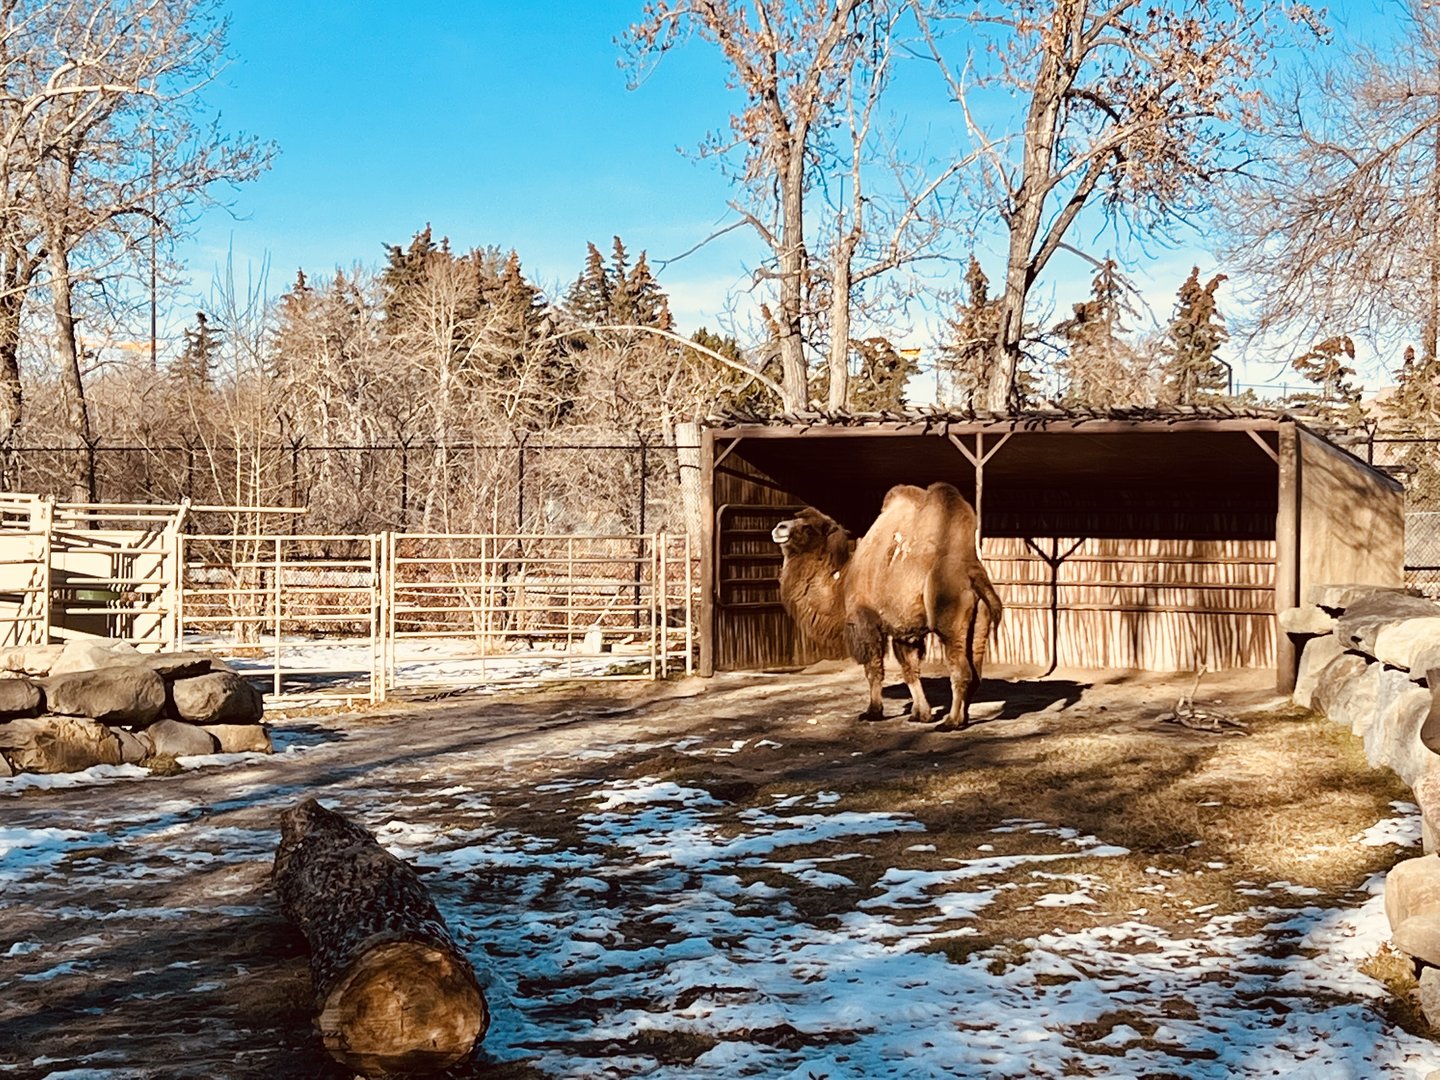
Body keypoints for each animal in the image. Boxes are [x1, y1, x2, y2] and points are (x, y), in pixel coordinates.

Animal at [771, 482, 1002, 731]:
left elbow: (873, 669)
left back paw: (950, 722)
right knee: (976, 671)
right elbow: (910, 670)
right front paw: (920, 714)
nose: (779, 527)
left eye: (808, 527)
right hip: (980, 621)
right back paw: (963, 719)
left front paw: (873, 712)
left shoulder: (864, 621)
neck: (842, 581)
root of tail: (972, 573)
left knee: (960, 669)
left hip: (948, 620)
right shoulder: (906, 630)